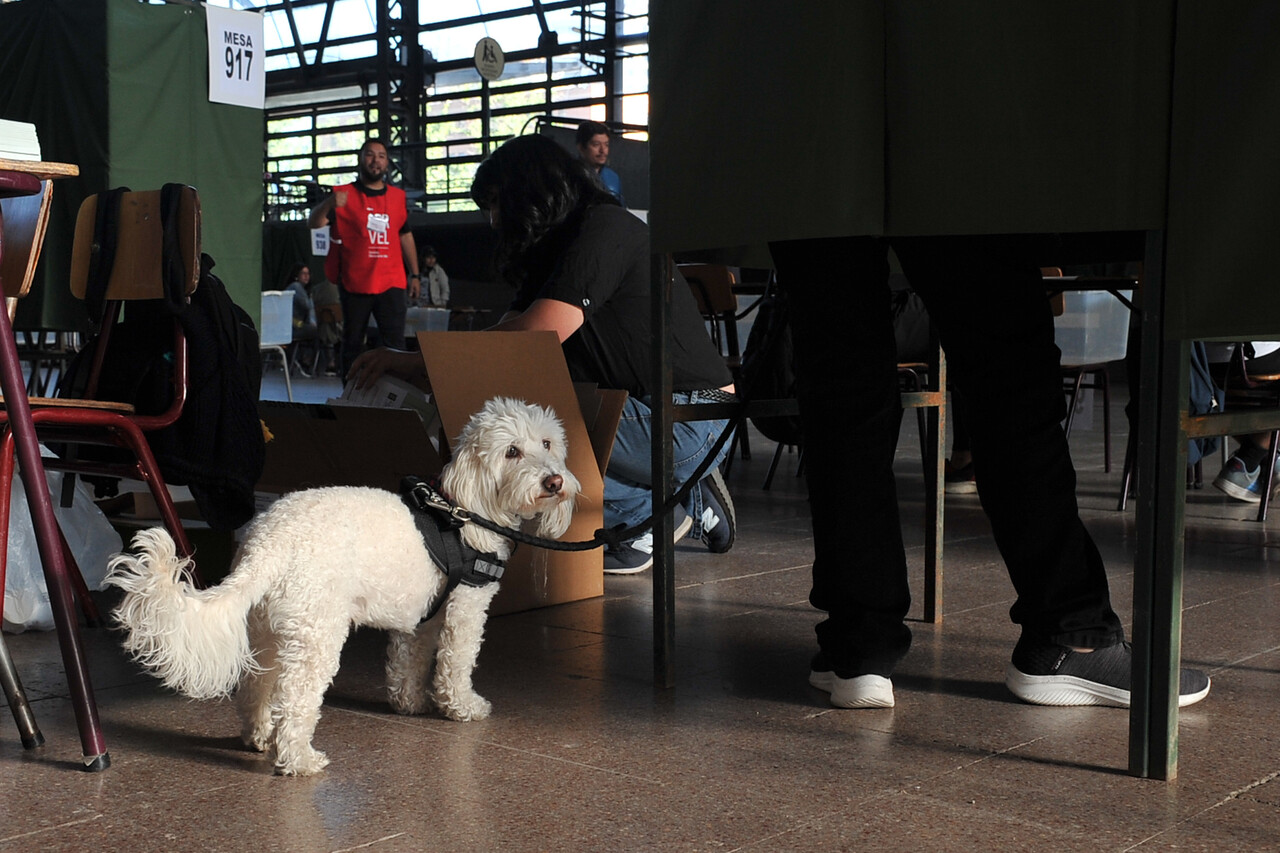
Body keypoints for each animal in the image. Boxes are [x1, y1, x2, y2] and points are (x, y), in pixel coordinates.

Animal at [107, 394, 578, 773]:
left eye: (547, 444)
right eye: (512, 452)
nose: (554, 481)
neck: (462, 509)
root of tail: (268, 541)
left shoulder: (419, 617)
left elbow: (408, 661)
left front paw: (410, 704)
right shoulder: (465, 607)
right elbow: (456, 664)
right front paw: (464, 707)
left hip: (269, 629)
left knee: (255, 687)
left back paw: (258, 736)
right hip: (317, 633)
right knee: (296, 699)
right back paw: (297, 759)